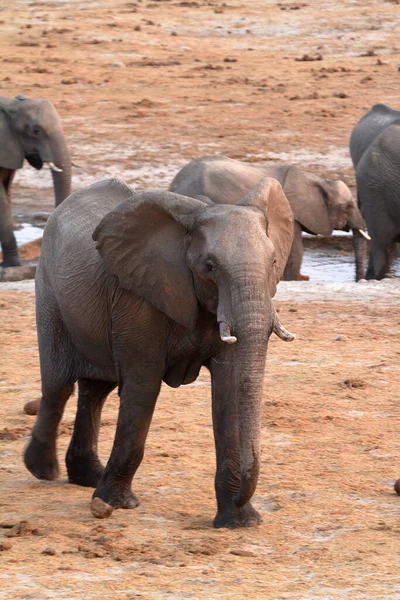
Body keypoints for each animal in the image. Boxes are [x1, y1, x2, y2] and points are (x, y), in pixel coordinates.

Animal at [24, 176, 294, 528]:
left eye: (274, 262)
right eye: (209, 266)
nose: (242, 497)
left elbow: (229, 391)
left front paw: (240, 522)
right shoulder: (137, 300)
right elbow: (143, 387)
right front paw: (116, 504)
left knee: (95, 391)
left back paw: (86, 477)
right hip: (49, 291)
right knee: (58, 386)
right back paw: (43, 471)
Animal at [169, 155, 368, 282]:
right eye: (348, 207)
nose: (359, 281)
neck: (321, 181)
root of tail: (173, 183)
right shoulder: (293, 211)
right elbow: (296, 247)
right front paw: (300, 279)